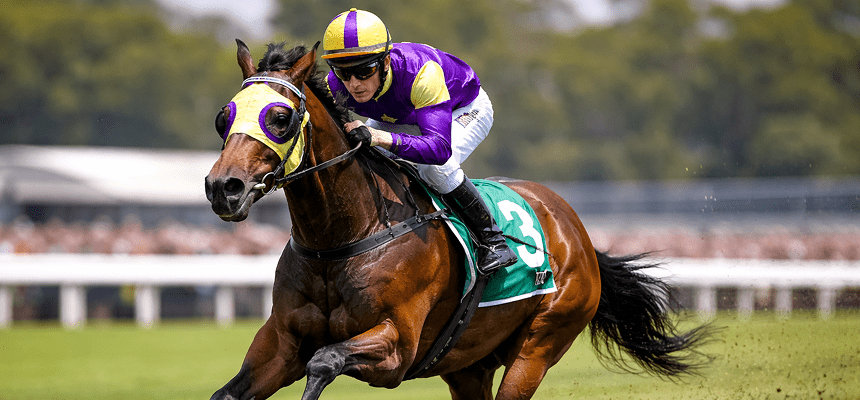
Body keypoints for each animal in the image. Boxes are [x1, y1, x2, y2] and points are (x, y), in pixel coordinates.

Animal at [204, 40, 712, 400]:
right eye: (223, 116)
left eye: (280, 117)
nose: (223, 187)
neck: (342, 239)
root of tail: (578, 234)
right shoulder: (281, 341)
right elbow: (230, 391)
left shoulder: (397, 347)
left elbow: (324, 360)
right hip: (468, 364)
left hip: (539, 345)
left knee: (444, 165)